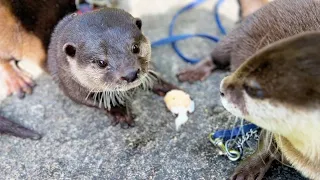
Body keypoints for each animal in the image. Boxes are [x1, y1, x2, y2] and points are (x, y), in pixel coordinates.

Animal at [47, 7, 178, 128]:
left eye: (135, 47)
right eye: (101, 62)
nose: (130, 74)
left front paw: (166, 87)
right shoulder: (68, 82)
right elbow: (93, 100)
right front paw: (120, 111)